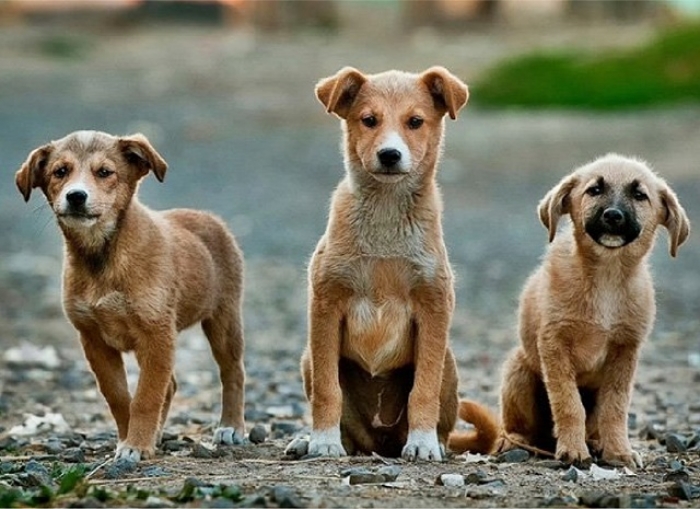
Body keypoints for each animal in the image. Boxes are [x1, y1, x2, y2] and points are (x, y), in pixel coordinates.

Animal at [14, 130, 249, 460]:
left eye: (104, 172)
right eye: (60, 172)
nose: (76, 196)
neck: (103, 257)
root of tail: (208, 217)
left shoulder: (156, 334)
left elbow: (146, 396)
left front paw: (136, 445)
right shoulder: (94, 339)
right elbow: (119, 396)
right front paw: (130, 439)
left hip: (224, 319)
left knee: (232, 372)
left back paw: (231, 427)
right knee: (171, 385)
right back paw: (159, 434)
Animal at [300, 64, 498, 460]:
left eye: (415, 121)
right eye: (369, 120)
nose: (390, 155)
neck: (386, 216)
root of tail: (380, 443)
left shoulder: (434, 305)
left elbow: (423, 389)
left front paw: (422, 443)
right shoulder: (326, 303)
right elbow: (328, 389)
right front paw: (323, 441)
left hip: (449, 363)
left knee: (440, 415)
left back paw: (433, 442)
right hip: (307, 358)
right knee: (347, 426)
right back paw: (310, 441)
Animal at [498, 153, 688, 466]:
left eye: (640, 195)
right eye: (594, 190)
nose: (613, 215)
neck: (607, 277)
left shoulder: (625, 351)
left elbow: (615, 407)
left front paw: (619, 451)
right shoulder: (554, 344)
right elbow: (568, 403)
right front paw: (573, 450)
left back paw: (597, 443)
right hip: (518, 370)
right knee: (517, 426)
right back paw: (514, 442)